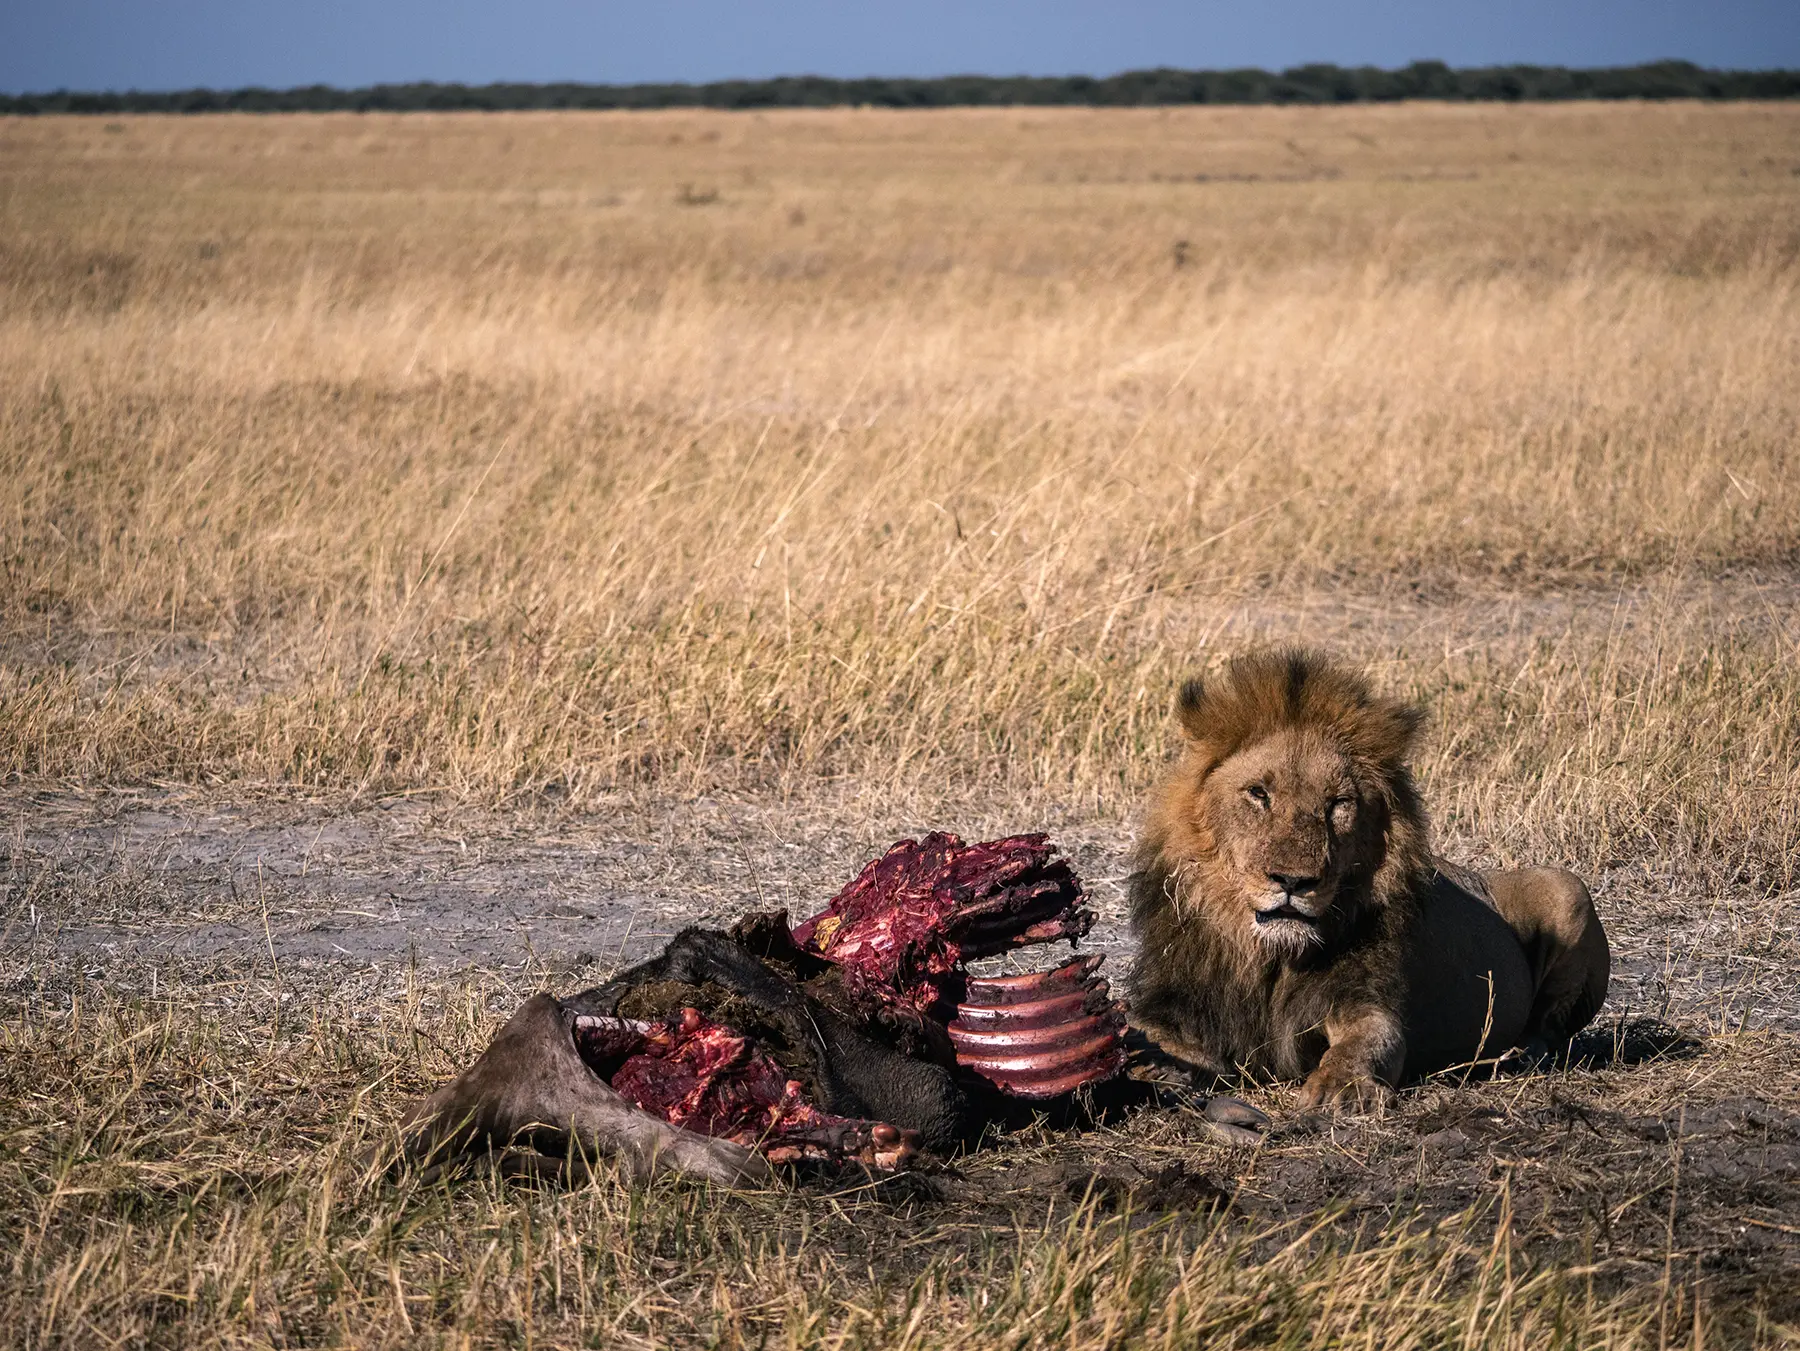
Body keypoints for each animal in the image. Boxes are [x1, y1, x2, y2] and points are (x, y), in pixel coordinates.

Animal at [1125, 649, 1609, 1109]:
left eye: (1339, 803)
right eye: (1258, 794)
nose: (1293, 882)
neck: (1271, 960)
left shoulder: (1363, 999)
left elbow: (1369, 1042)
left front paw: (1340, 1087)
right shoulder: (1183, 1007)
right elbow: (1147, 1035)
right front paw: (1147, 1069)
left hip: (1566, 887)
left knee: (1548, 1032)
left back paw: (1514, 1055)